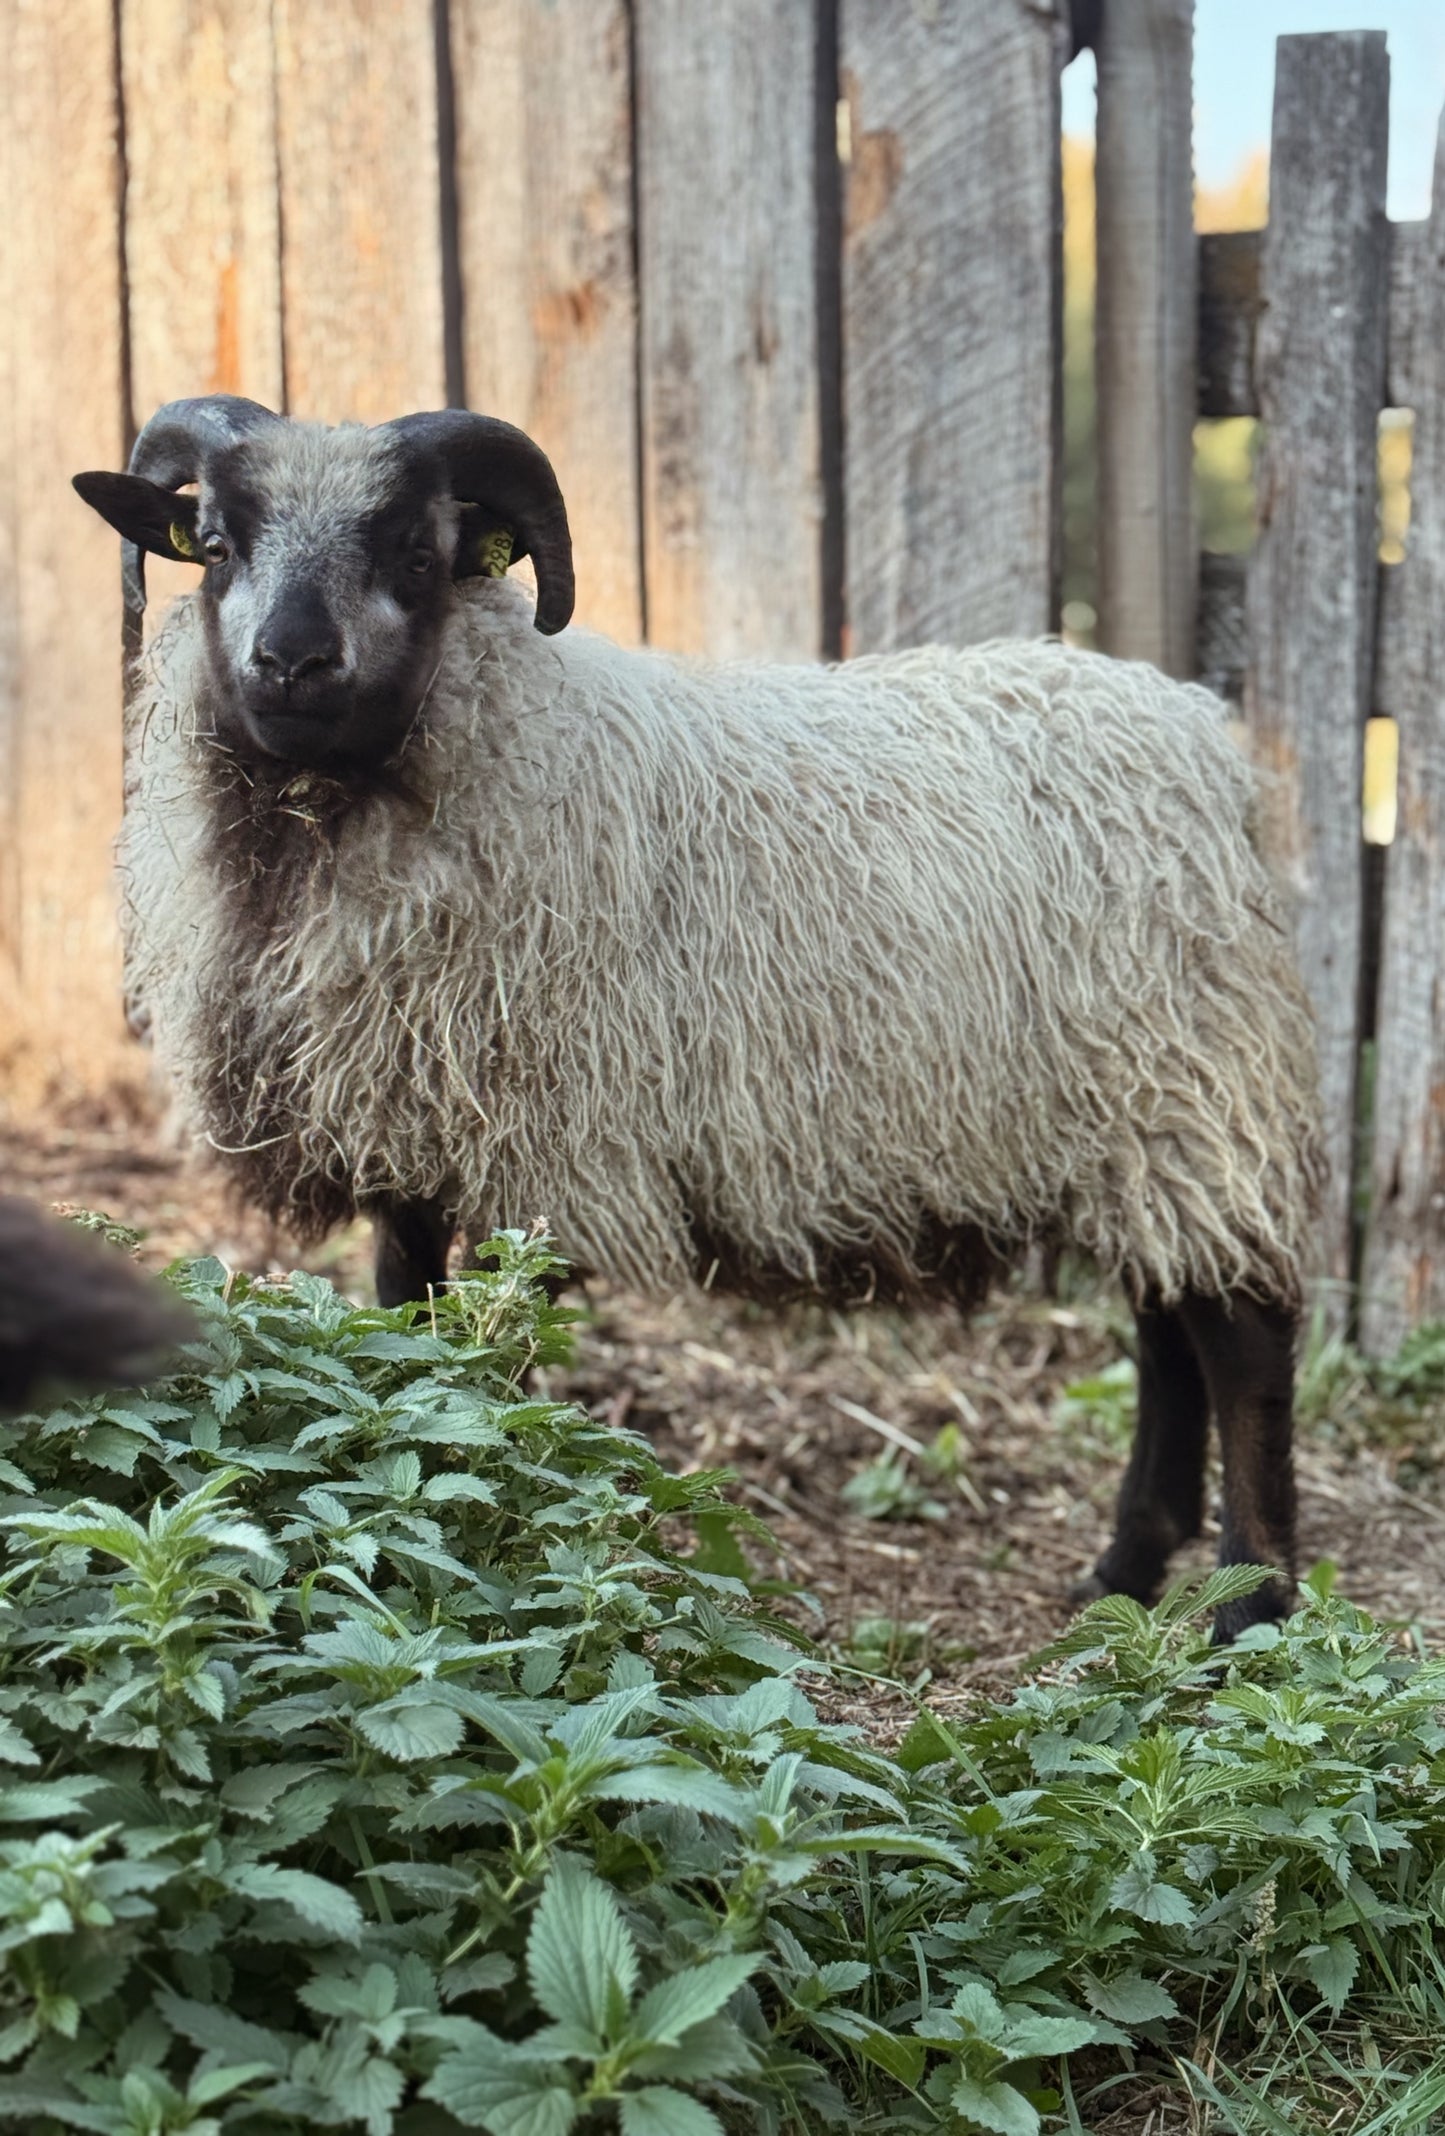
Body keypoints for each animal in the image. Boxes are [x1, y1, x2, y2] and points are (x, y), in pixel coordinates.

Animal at [73, 397, 1324, 1636]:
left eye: (416, 555)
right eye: (215, 544)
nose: (291, 662)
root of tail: (1195, 733)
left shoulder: (549, 1151)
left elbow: (499, 1359)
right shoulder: (410, 1139)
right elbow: (411, 1322)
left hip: (1189, 1085)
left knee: (1241, 1341)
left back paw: (1250, 1608)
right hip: (1135, 1122)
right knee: (1168, 1326)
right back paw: (1124, 1569)